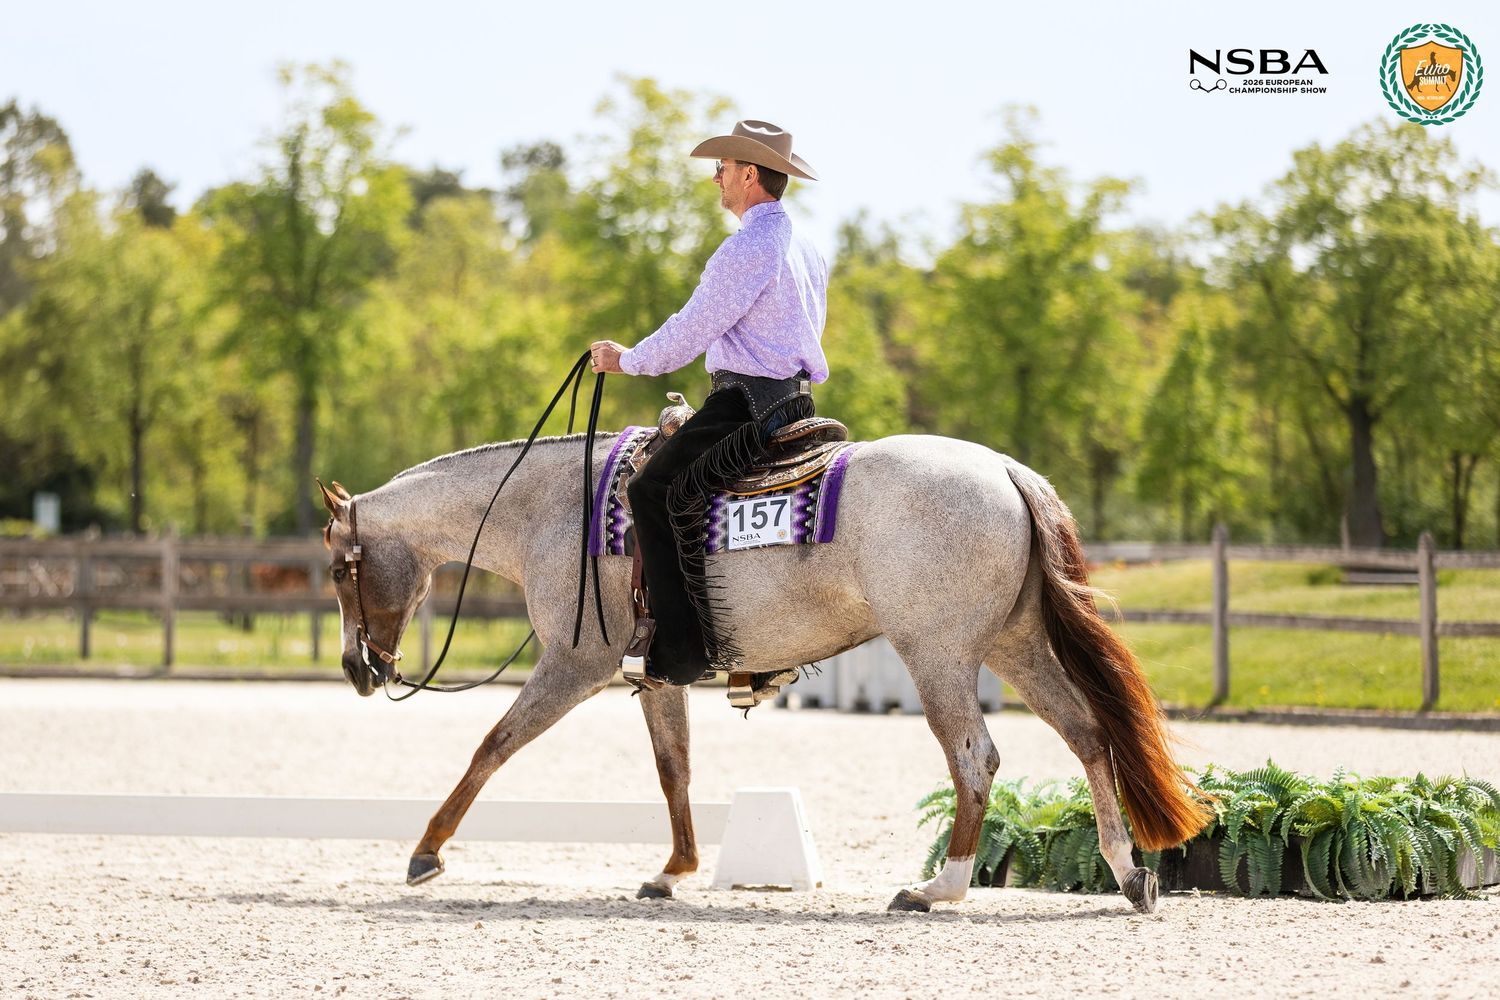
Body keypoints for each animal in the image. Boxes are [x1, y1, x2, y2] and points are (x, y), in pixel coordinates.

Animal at [316, 427, 1211, 913]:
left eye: (337, 571)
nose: (358, 668)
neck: (554, 509)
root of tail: (1004, 471)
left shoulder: (576, 663)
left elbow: (493, 746)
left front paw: (426, 853)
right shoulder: (655, 675)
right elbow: (674, 769)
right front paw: (673, 871)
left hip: (941, 655)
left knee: (975, 758)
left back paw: (941, 888)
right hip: (1015, 644)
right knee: (1087, 735)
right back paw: (1128, 873)